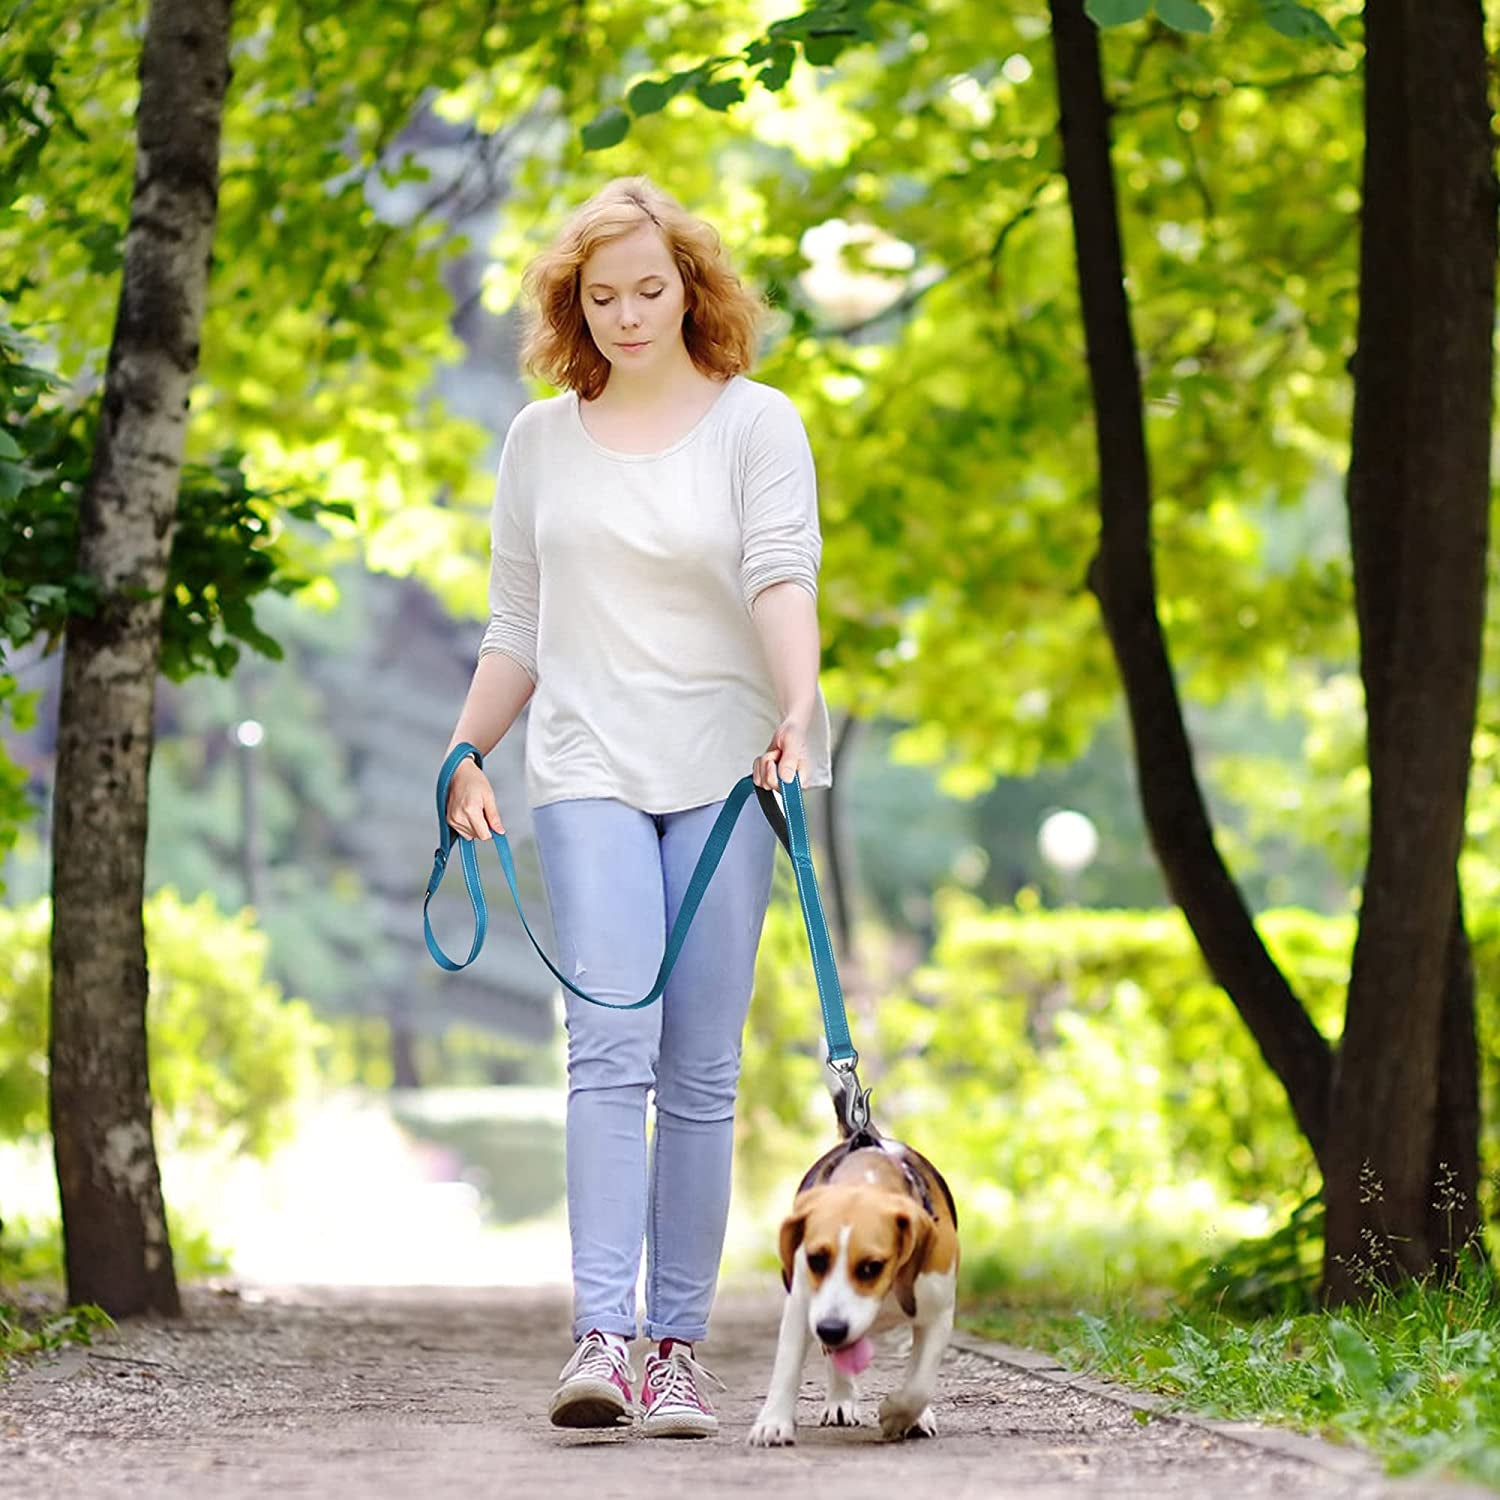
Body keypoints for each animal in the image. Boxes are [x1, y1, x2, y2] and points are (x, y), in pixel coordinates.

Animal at [747, 1122, 960, 1446]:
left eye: (872, 1267)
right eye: (816, 1260)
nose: (832, 1329)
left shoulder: (938, 1312)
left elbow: (918, 1385)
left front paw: (897, 1414)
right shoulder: (802, 1307)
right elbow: (787, 1366)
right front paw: (773, 1422)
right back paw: (840, 1400)